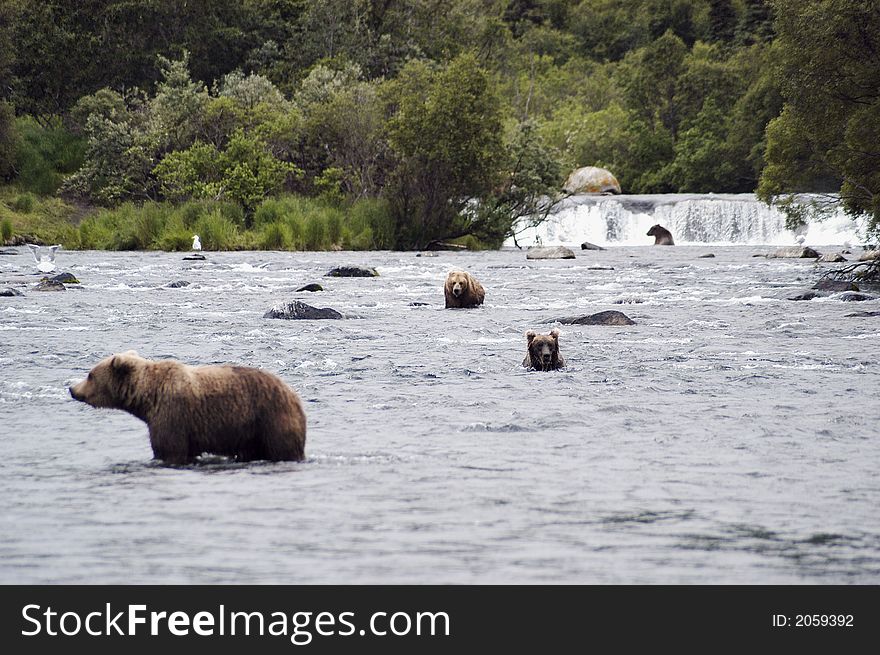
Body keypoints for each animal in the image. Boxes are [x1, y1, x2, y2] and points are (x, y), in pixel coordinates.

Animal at [68, 352, 306, 464]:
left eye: (90, 374)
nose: (72, 388)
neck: (148, 398)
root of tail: (294, 394)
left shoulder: (172, 415)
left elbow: (169, 449)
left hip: (270, 419)